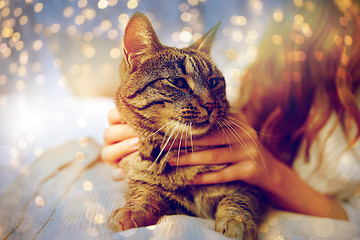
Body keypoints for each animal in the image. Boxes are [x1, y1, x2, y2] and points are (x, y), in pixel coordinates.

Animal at [108, 12, 268, 239]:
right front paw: (132, 210)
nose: (210, 104)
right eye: (177, 82)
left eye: (213, 82)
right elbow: (144, 194)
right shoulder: (151, 187)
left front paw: (238, 220)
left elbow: (238, 199)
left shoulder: (251, 186)